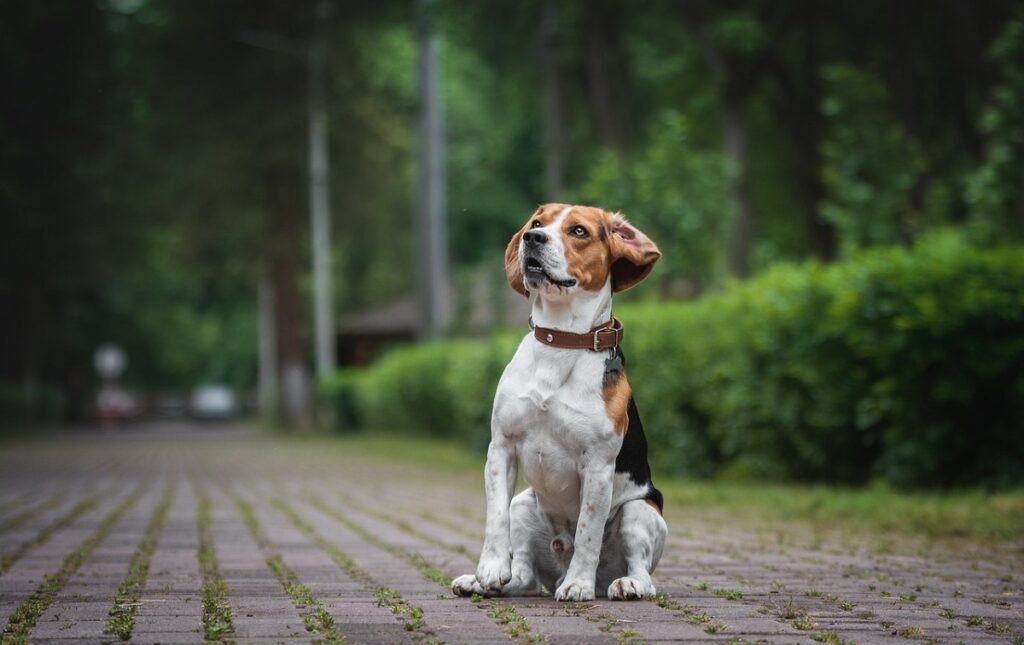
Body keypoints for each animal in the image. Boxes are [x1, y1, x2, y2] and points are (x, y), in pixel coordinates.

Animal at [452, 204, 667, 606]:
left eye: (579, 231)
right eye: (538, 223)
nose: (532, 238)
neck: (561, 340)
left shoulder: (597, 466)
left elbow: (587, 530)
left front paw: (578, 585)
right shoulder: (501, 448)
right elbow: (494, 518)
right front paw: (489, 569)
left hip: (638, 512)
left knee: (642, 573)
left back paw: (619, 584)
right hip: (524, 504)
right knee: (523, 575)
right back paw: (485, 583)